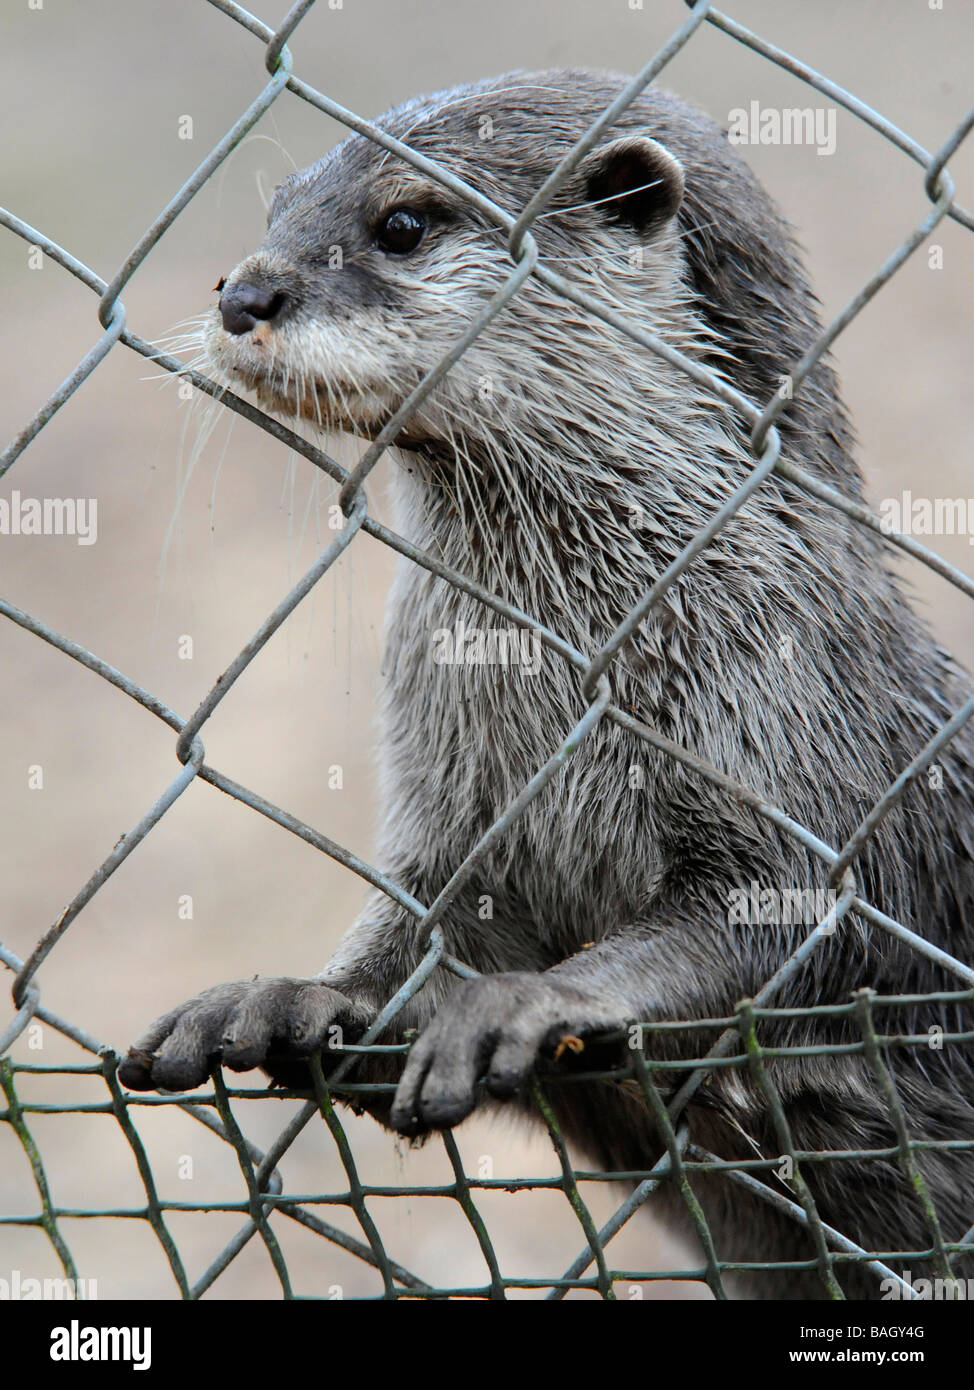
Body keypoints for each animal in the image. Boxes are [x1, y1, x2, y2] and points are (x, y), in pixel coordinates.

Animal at [119, 70, 974, 1299]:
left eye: (403, 223)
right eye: (276, 208)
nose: (244, 290)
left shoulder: (798, 759)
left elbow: (763, 920)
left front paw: (533, 1001)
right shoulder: (449, 808)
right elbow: (425, 925)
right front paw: (296, 997)